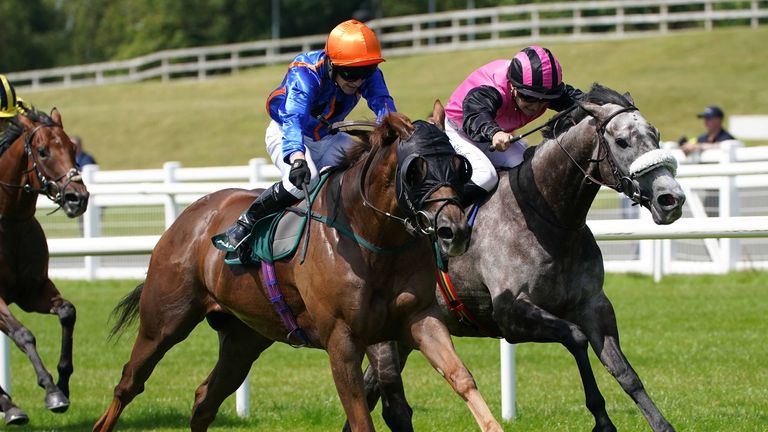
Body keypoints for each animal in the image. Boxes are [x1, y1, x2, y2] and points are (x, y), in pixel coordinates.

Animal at [0, 106, 91, 424]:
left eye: (73, 148)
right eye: (42, 151)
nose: (78, 198)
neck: (8, 223)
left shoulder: (32, 290)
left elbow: (67, 312)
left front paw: (62, 383)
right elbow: (23, 334)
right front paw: (51, 391)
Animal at [94, 112, 504, 432]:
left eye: (459, 165)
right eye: (415, 170)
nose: (454, 230)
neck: (371, 236)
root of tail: (189, 216)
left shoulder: (419, 319)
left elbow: (460, 378)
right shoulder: (341, 338)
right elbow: (362, 416)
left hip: (244, 338)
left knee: (205, 399)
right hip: (163, 322)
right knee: (129, 383)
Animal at [354, 84, 684, 432]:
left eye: (656, 134)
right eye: (621, 141)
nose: (671, 199)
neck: (548, 218)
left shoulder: (593, 304)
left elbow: (624, 372)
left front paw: (661, 424)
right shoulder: (510, 313)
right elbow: (576, 338)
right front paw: (603, 420)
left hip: (407, 332)